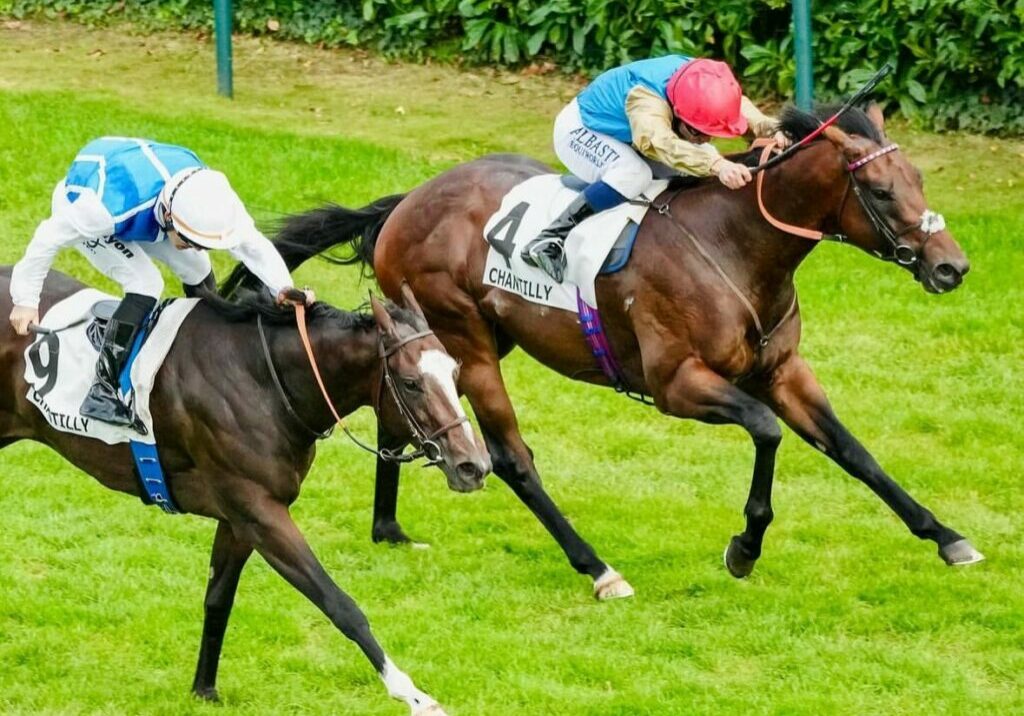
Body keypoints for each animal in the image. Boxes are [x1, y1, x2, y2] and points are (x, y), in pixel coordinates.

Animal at [0, 270, 489, 716]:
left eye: (454, 370)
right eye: (410, 382)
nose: (474, 465)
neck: (266, 381)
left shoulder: (238, 518)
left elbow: (218, 598)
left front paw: (203, 689)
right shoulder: (260, 512)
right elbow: (339, 603)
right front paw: (415, 696)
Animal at [222, 103, 983, 602]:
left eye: (920, 180)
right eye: (881, 190)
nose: (952, 267)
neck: (737, 248)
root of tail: (410, 200)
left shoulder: (783, 371)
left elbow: (854, 451)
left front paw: (946, 536)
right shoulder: (678, 385)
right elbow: (766, 432)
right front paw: (744, 548)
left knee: (397, 411)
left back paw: (389, 528)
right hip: (467, 340)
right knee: (511, 458)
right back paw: (597, 567)